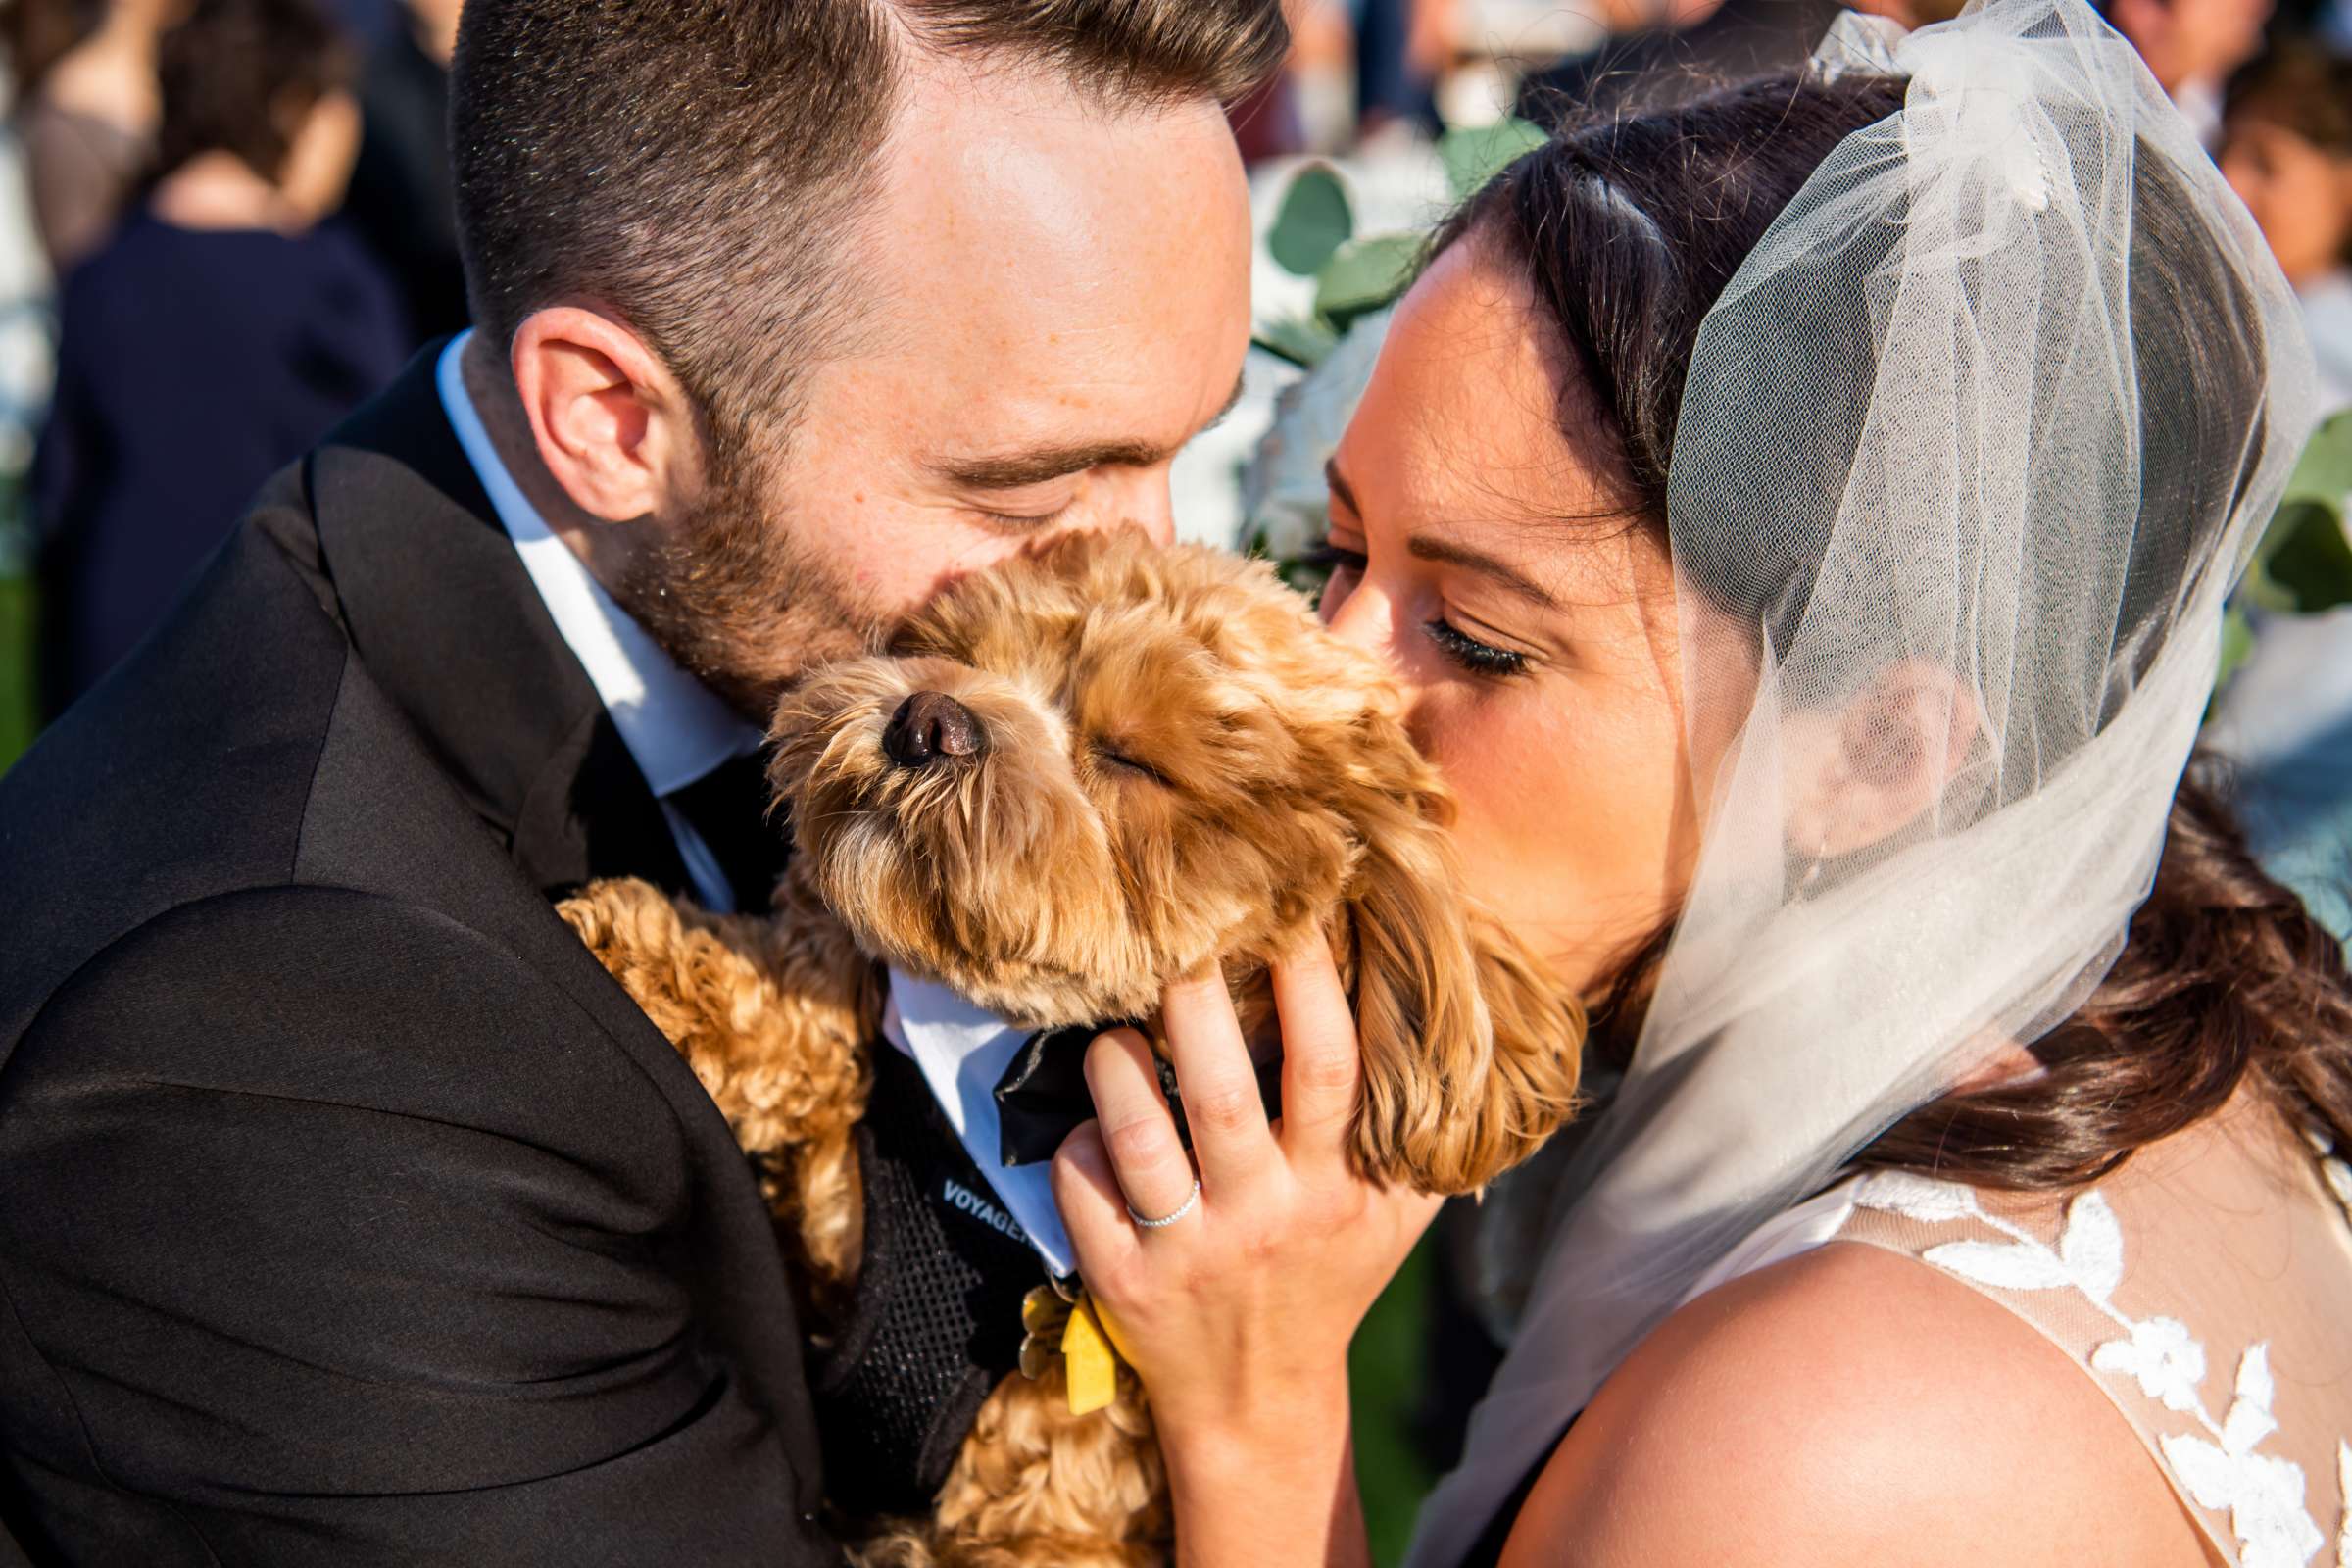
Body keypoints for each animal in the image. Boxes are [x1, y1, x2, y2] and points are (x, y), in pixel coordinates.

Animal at [557, 533, 1580, 1560]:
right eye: (959, 648)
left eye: (1131, 758)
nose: (930, 718)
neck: (1019, 1061)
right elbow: (818, 986)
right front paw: (652, 962)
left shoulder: (1063, 1518)